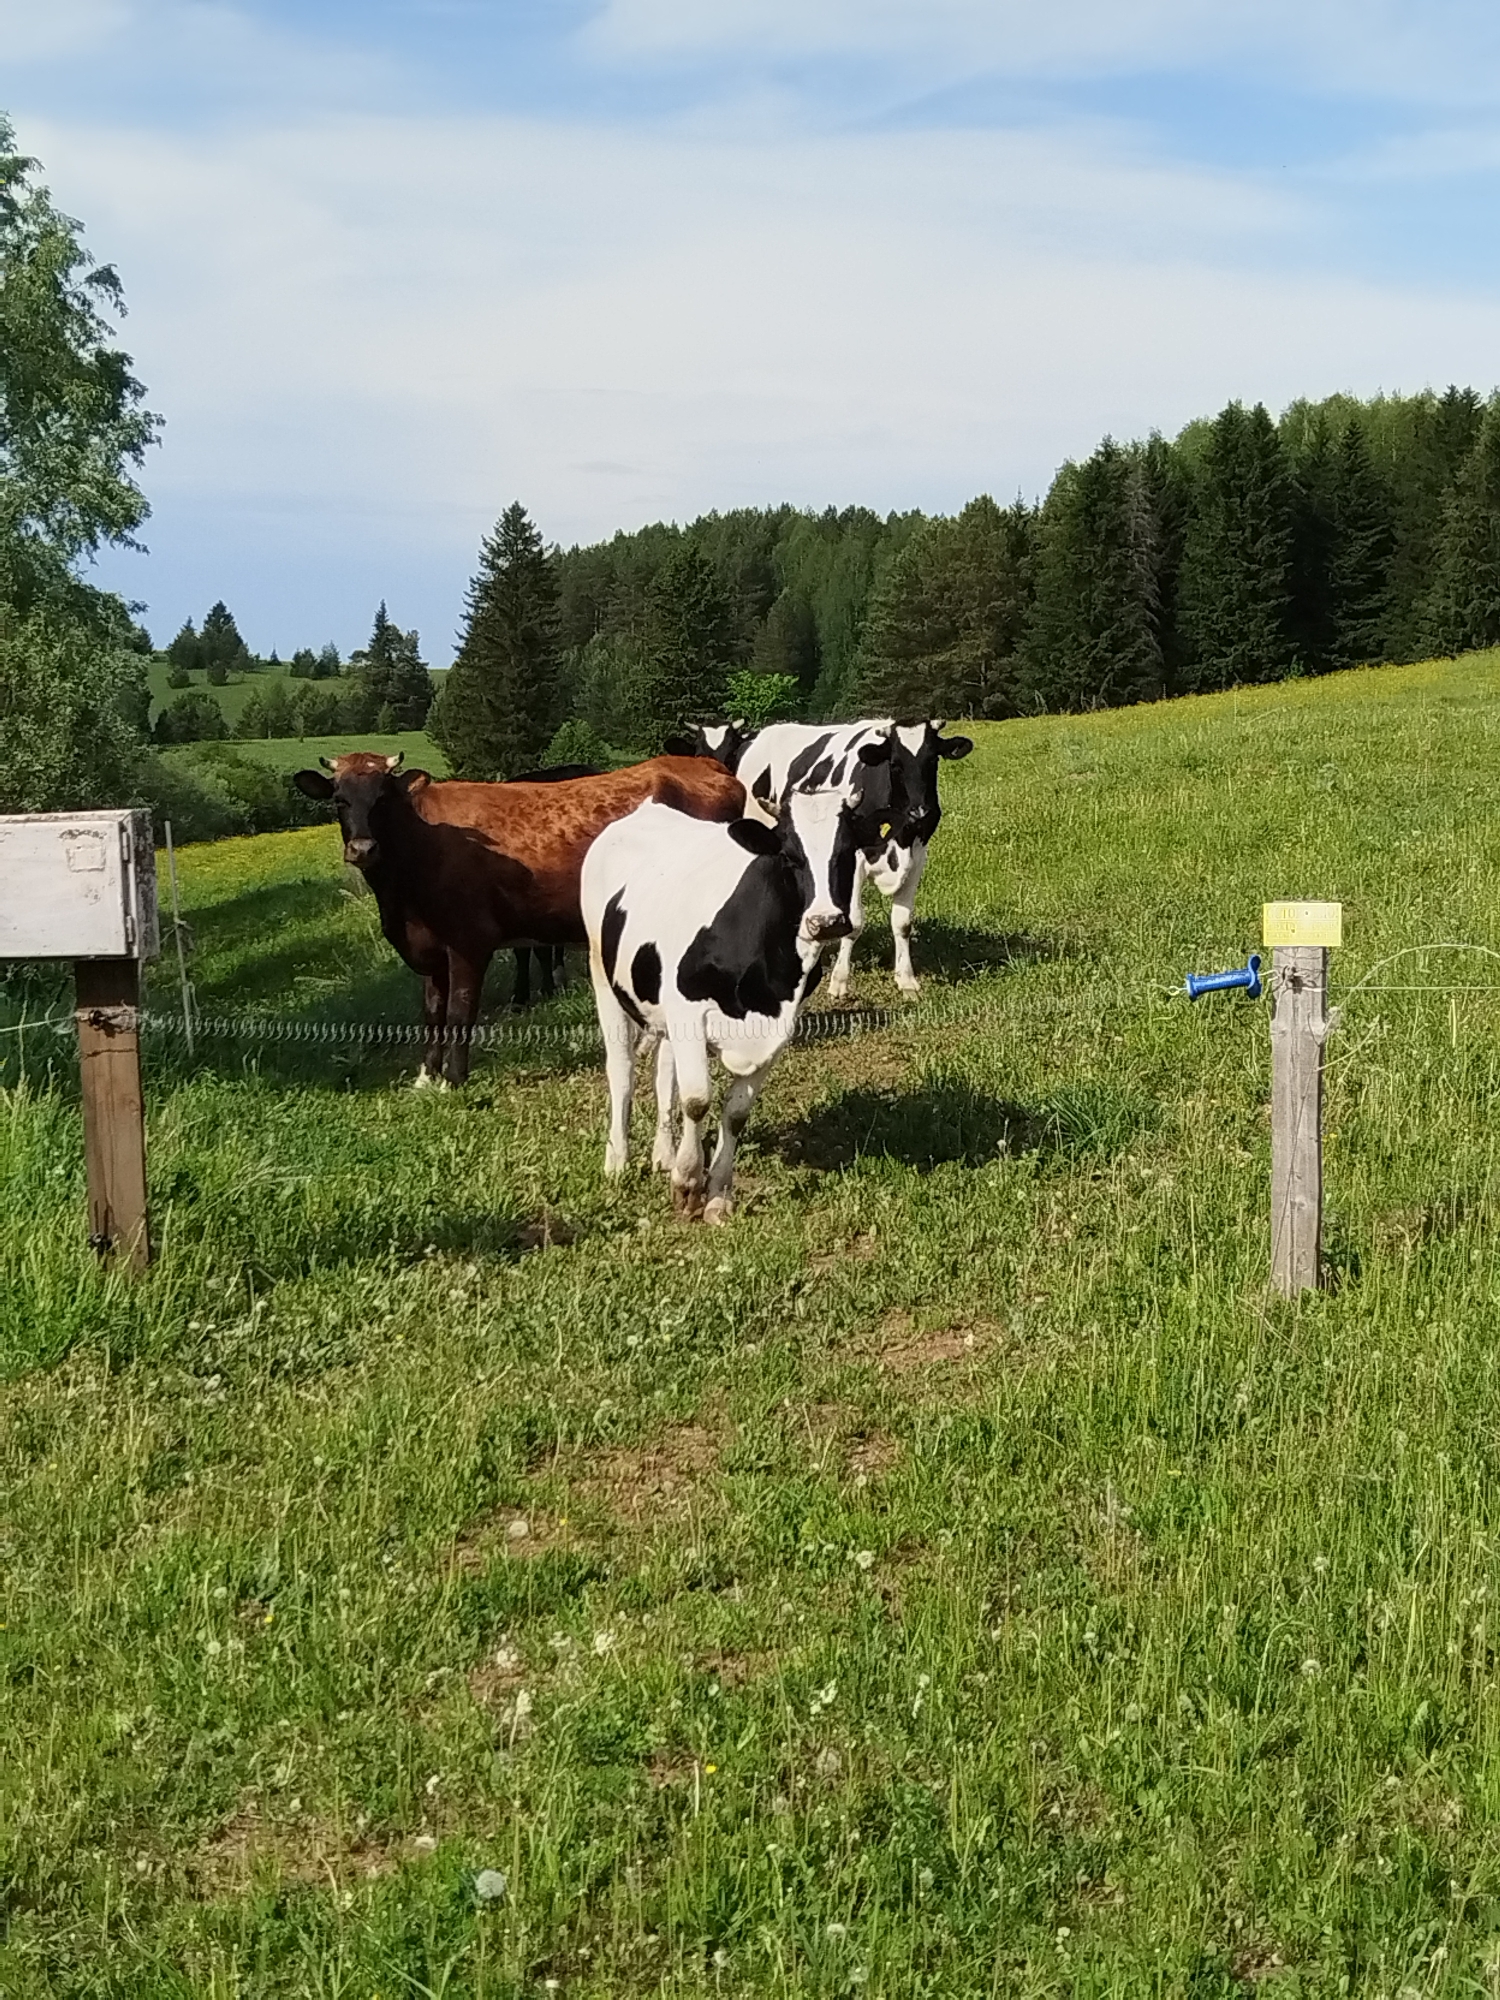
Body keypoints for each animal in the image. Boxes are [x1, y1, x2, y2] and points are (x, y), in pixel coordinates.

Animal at [292, 751, 745, 1085]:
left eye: (383, 799)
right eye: (339, 799)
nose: (363, 849)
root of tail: (706, 765)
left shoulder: (468, 942)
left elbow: (459, 1012)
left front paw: (454, 1079)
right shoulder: (429, 950)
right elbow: (432, 1013)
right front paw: (427, 1075)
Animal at [580, 739, 891, 1222]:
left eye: (847, 851)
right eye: (789, 855)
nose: (826, 921)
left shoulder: (777, 1025)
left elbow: (735, 1112)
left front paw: (718, 1194)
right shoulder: (689, 1010)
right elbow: (697, 1100)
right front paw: (688, 1184)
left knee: (663, 1073)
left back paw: (663, 1153)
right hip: (603, 976)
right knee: (623, 1070)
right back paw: (618, 1161)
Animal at [728, 719, 973, 998]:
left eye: (933, 760)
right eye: (895, 764)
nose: (920, 812)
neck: (899, 838)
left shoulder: (917, 857)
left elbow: (902, 923)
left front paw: (906, 979)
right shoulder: (854, 860)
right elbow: (854, 922)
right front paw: (839, 981)